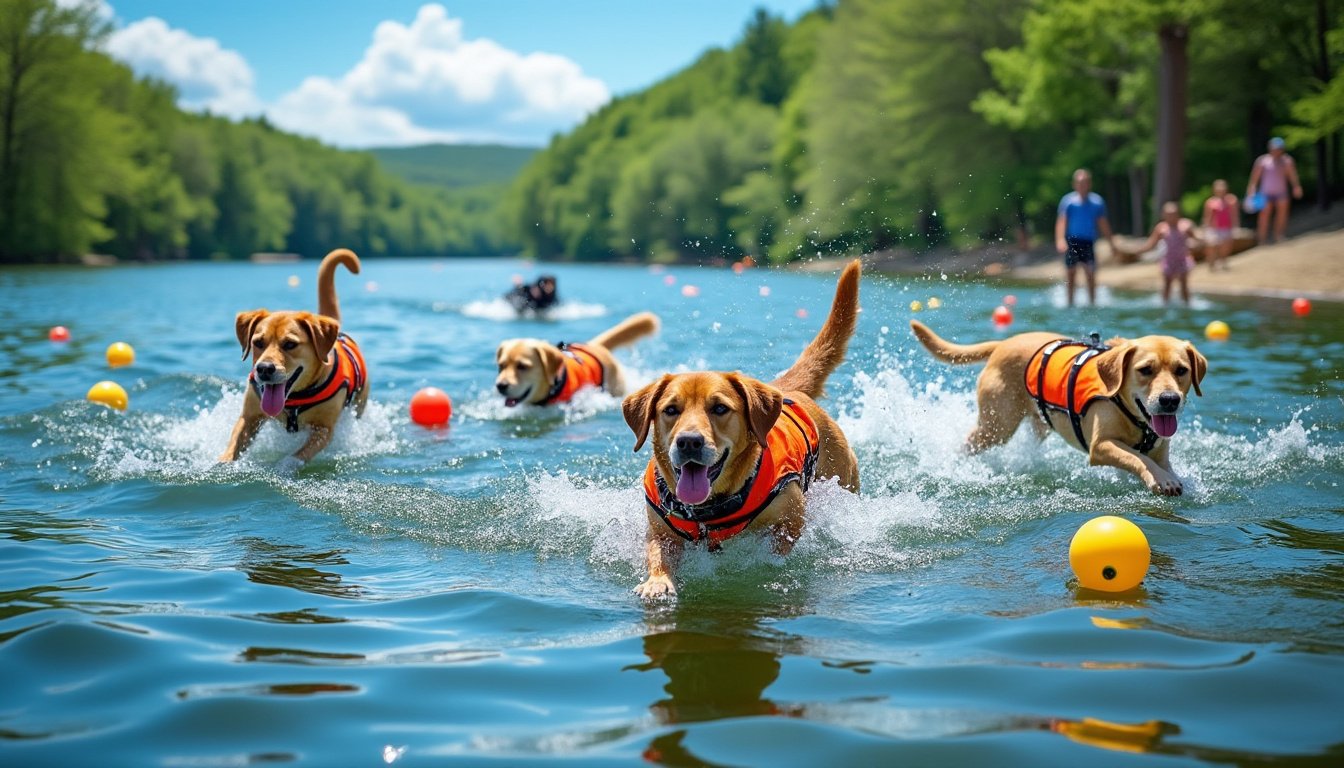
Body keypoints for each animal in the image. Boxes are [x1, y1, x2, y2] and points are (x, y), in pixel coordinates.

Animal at [221, 248, 370, 470]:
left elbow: (298, 455)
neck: (294, 399)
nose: (264, 368)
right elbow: (234, 442)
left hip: (359, 404)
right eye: (258, 342)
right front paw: (221, 464)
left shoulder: (324, 429)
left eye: (290, 344)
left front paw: (283, 467)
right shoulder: (250, 416)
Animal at [618, 263, 860, 599]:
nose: (689, 442)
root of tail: (786, 389)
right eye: (670, 410)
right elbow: (658, 554)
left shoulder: (790, 515)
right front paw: (657, 582)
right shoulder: (660, 530)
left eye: (719, 408)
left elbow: (777, 547)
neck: (708, 510)